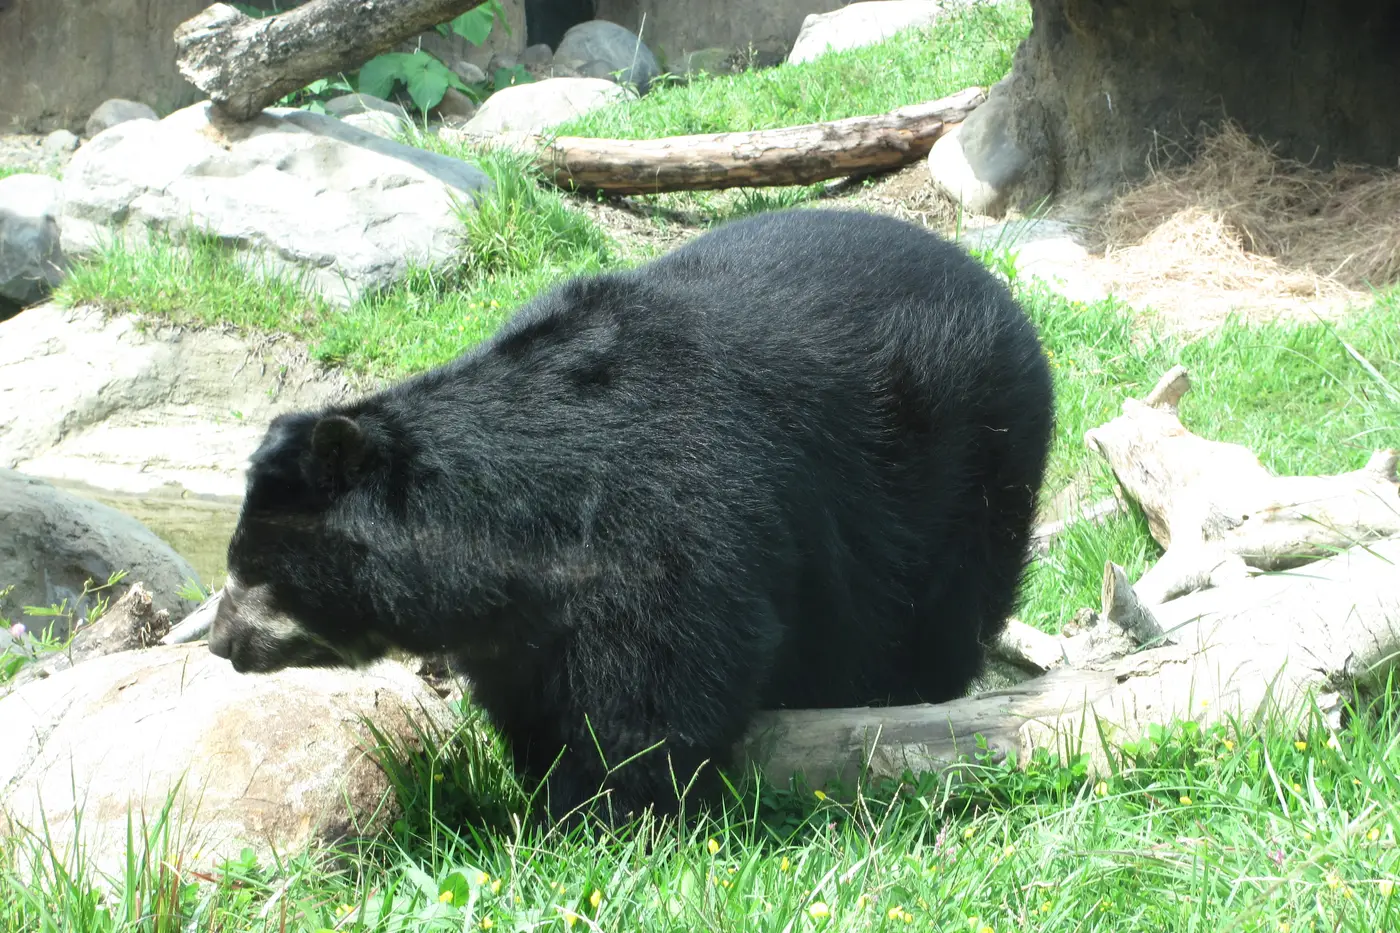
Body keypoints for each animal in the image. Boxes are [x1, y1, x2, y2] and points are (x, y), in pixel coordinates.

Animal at [207, 207, 1056, 827]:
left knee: (934, 608)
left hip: (971, 459)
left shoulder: (663, 510)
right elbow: (529, 688)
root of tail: (996, 288)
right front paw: (547, 789)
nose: (222, 642)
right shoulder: (519, 611)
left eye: (253, 570)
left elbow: (661, 676)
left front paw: (608, 810)